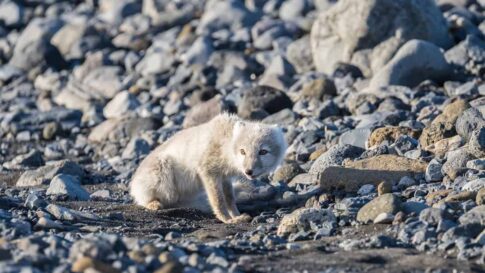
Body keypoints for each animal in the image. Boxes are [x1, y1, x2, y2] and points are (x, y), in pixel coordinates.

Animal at [130, 112, 288, 223]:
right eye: (243, 151)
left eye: (263, 151)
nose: (248, 171)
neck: (225, 144)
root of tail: (133, 184)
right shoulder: (208, 171)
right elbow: (218, 199)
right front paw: (227, 220)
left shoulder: (225, 177)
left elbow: (229, 198)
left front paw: (236, 215)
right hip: (163, 174)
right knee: (146, 200)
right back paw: (154, 204)